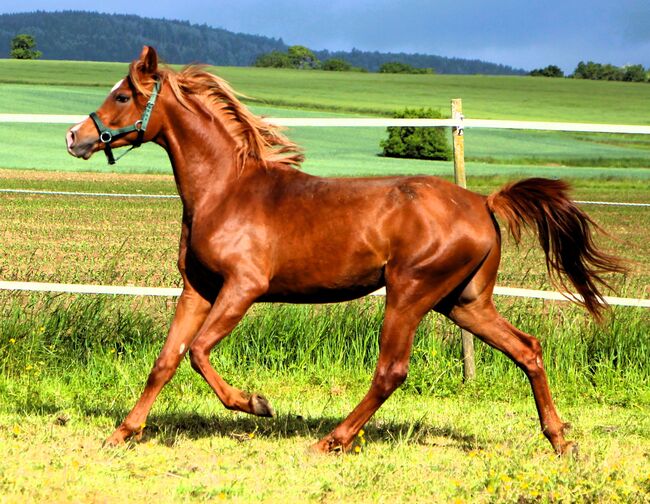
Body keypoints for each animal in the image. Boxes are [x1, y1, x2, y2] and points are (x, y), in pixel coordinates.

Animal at [66, 46, 624, 455]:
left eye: (123, 96)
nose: (75, 136)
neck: (226, 191)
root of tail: (484, 202)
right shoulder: (198, 288)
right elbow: (167, 359)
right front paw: (121, 433)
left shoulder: (244, 287)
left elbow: (199, 352)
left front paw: (257, 403)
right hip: (464, 301)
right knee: (528, 348)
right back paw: (560, 440)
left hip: (411, 292)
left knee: (391, 370)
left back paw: (330, 440)